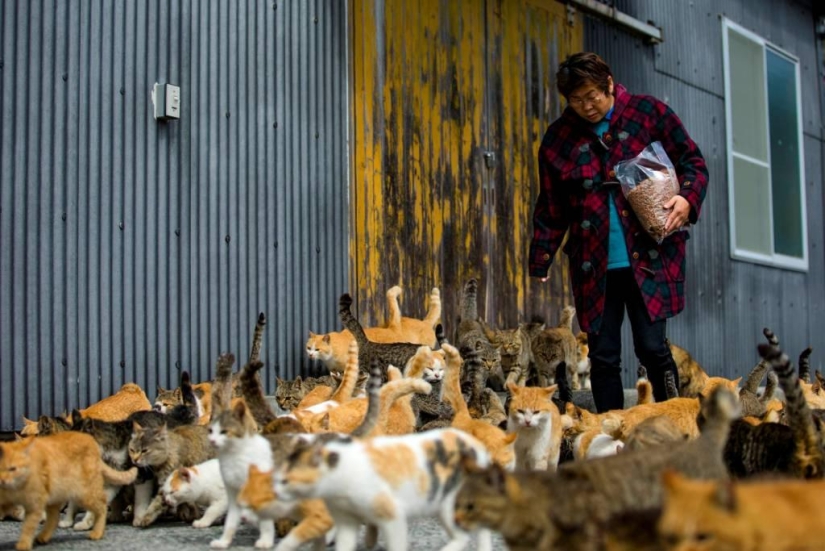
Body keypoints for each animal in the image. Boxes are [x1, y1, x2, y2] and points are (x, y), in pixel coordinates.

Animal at [272, 430, 490, 551]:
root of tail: (478, 446)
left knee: (463, 536)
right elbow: (345, 542)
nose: (273, 491)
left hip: (451, 504)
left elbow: (396, 544)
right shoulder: (346, 520)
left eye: (285, 480)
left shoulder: (392, 515)